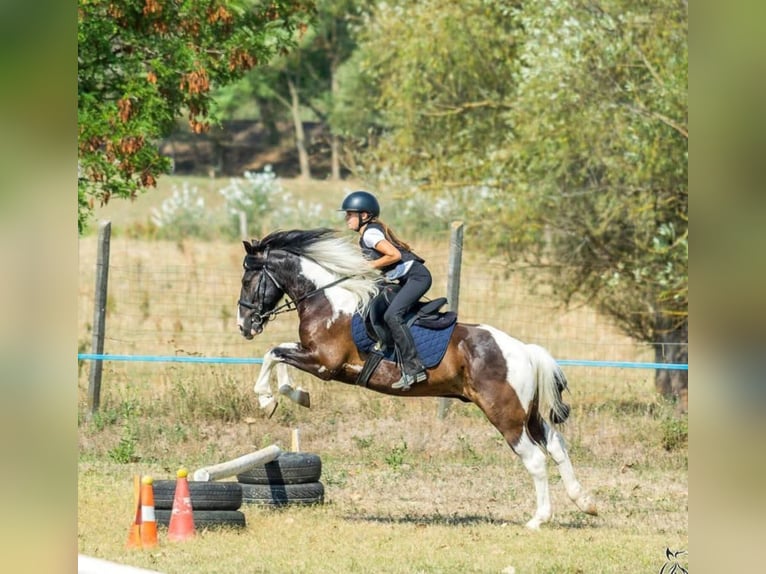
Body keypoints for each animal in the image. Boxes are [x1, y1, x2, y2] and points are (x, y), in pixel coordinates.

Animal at [237, 228, 596, 532]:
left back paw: (538, 519)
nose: (244, 326)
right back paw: (585, 502)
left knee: (535, 458)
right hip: (526, 413)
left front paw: (267, 399)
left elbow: (273, 353)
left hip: (505, 413)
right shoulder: (313, 356)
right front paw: (292, 394)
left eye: (248, 279)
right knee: (556, 445)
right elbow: (278, 355)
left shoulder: (325, 363)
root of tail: (524, 351)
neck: (328, 301)